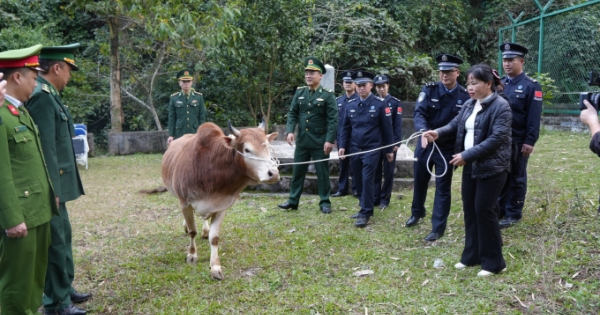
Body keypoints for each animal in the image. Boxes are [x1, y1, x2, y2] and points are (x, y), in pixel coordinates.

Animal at [161, 120, 280, 278]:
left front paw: (215, 266)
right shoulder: (185, 203)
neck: (210, 167)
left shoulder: (221, 206)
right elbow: (192, 231)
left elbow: (214, 238)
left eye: (268, 147)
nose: (274, 173)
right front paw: (192, 255)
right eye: (247, 149)